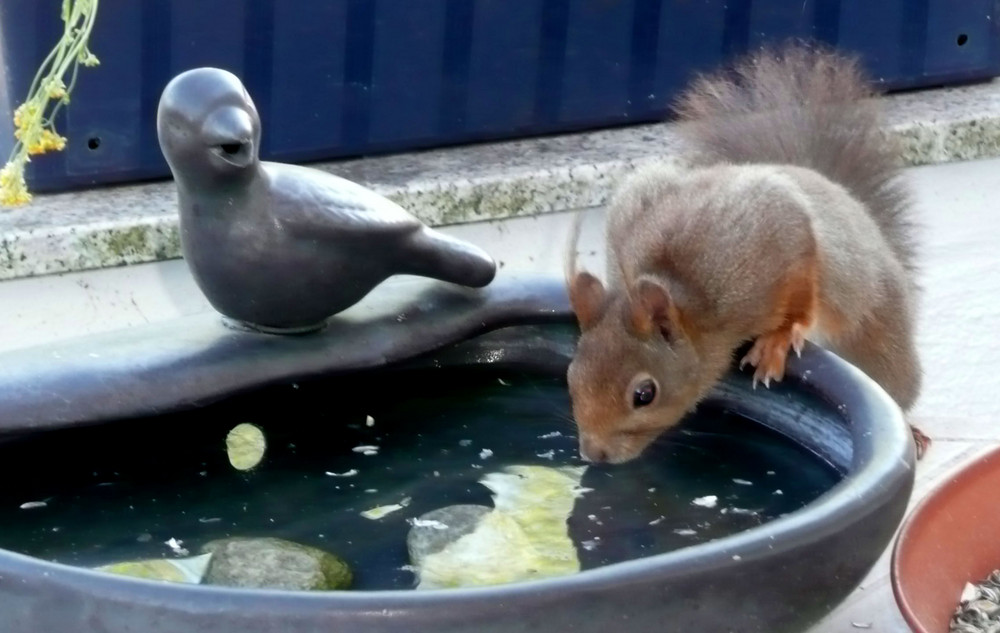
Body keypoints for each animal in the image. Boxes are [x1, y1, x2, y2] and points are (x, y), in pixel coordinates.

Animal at [568, 42, 924, 462]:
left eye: (644, 394)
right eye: (571, 376)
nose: (594, 454)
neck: (687, 293)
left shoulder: (775, 233)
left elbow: (801, 288)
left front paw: (778, 340)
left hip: (876, 336)